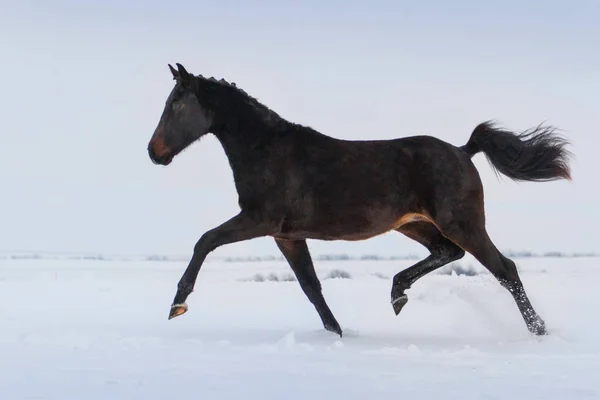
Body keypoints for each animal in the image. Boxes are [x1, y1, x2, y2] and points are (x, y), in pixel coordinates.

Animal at [146, 62, 572, 338]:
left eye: (176, 105)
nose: (154, 153)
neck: (267, 151)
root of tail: (463, 151)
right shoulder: (286, 235)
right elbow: (310, 285)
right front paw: (336, 333)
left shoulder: (260, 220)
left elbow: (205, 240)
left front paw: (177, 304)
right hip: (416, 225)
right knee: (448, 253)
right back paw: (398, 292)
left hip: (462, 223)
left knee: (504, 268)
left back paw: (539, 330)